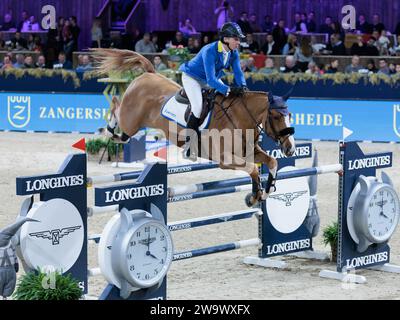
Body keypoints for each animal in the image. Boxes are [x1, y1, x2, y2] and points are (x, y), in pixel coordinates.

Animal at [92, 48, 296, 206]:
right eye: (276, 116)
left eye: (290, 116)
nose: (290, 149)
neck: (239, 118)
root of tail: (149, 73)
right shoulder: (225, 160)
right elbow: (253, 169)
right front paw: (254, 196)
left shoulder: (250, 151)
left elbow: (272, 162)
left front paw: (265, 192)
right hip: (130, 121)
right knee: (116, 107)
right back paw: (106, 129)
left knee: (122, 131)